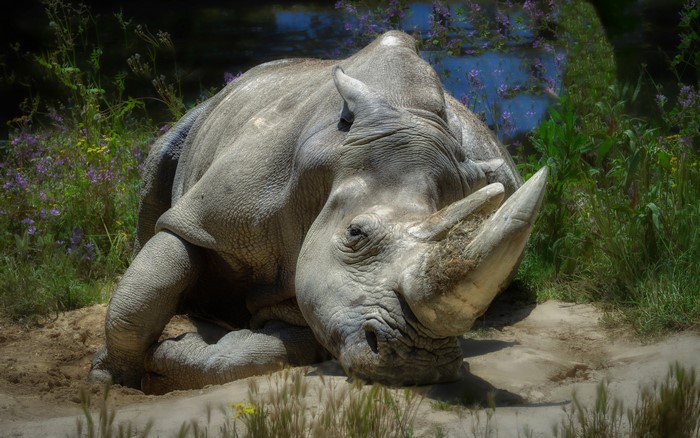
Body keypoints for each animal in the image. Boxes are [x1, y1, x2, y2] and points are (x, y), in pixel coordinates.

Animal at [89, 30, 547, 395]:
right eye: (355, 234)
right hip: (207, 111)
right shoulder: (206, 219)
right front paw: (111, 379)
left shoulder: (313, 290)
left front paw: (167, 363)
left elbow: (269, 349)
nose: (421, 364)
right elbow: (144, 292)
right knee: (163, 156)